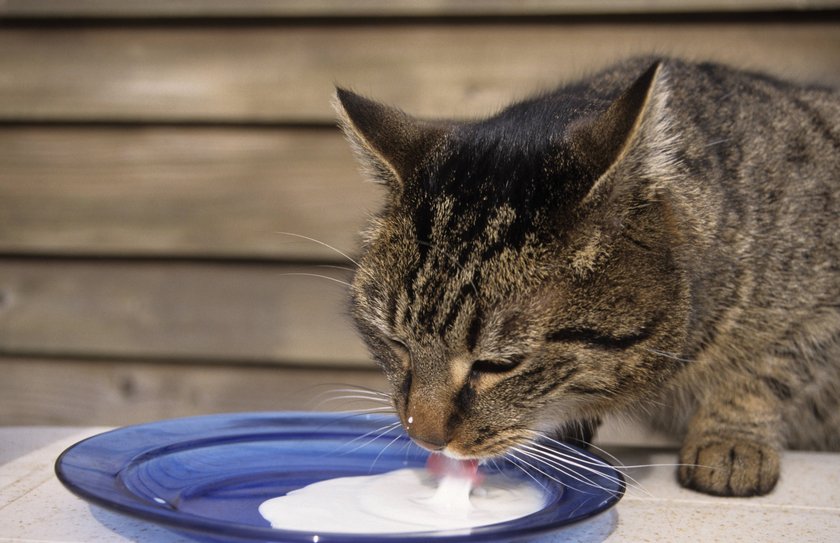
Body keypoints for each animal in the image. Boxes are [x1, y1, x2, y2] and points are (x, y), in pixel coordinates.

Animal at [334, 58, 840, 498]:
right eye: (395, 343)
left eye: (498, 365)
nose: (424, 437)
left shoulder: (817, 315)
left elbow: (762, 374)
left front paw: (731, 441)